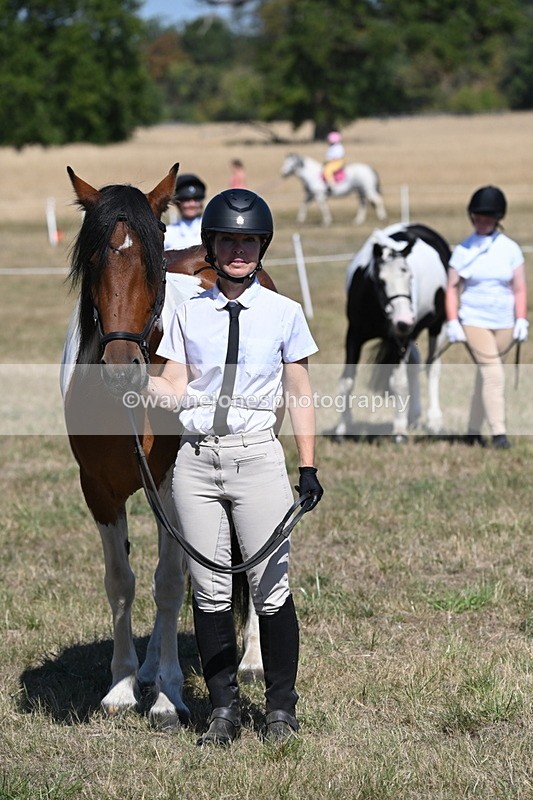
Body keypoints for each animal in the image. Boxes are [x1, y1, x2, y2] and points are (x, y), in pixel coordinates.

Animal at [61, 165, 275, 727]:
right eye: (92, 255)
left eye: (154, 252)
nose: (121, 368)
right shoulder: (99, 492)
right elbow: (121, 582)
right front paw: (120, 687)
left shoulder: (171, 487)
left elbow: (170, 583)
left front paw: (166, 698)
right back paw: (150, 669)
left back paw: (249, 661)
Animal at [333, 223, 450, 442]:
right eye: (380, 281)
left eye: (409, 277)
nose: (404, 320)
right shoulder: (353, 336)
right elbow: (347, 381)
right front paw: (342, 428)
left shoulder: (401, 339)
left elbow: (399, 383)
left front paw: (399, 431)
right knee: (415, 362)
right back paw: (414, 416)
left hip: (436, 326)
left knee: (432, 368)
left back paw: (434, 421)